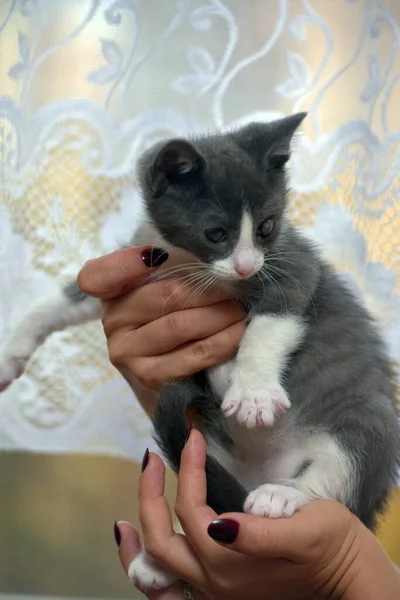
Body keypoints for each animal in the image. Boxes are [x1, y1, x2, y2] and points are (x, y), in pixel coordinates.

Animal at [0, 113, 400, 592]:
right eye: (216, 233)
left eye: (267, 227)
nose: (245, 265)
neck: (186, 262)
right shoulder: (137, 265)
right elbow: (63, 299)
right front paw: (12, 350)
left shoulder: (290, 266)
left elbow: (267, 325)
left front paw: (251, 392)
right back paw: (161, 559)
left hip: (367, 423)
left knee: (340, 475)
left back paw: (282, 493)